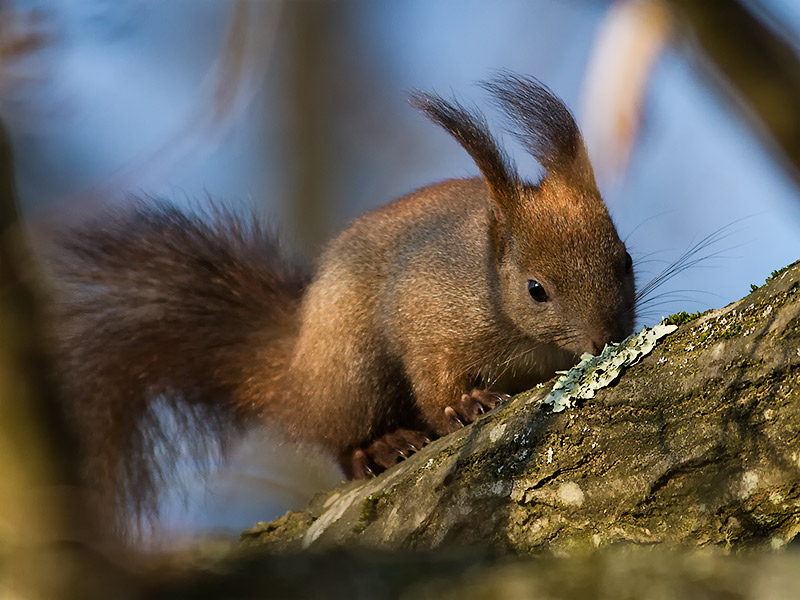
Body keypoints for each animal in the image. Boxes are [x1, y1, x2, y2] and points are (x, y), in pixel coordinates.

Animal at [48, 71, 636, 524]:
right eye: (536, 290)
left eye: (625, 261)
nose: (607, 336)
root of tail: (298, 373)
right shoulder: (430, 317)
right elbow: (433, 379)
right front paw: (463, 405)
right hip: (353, 373)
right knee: (339, 440)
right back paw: (381, 446)